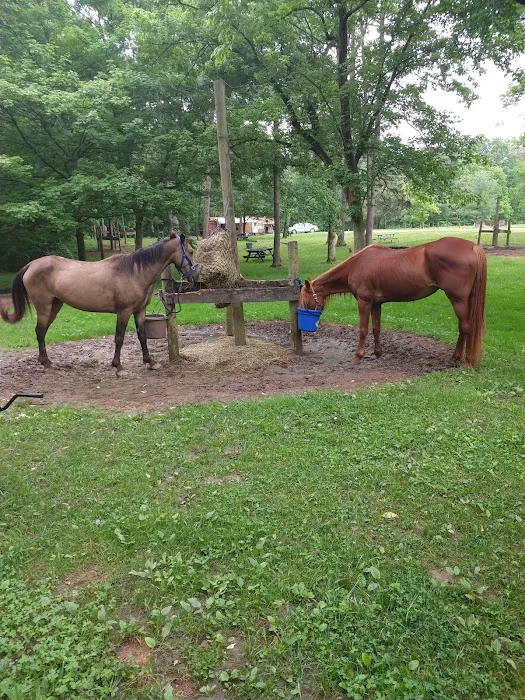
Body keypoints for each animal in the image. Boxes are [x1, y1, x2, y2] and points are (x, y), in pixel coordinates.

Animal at [0, 233, 198, 372]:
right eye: (190, 252)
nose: (195, 277)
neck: (135, 271)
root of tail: (31, 265)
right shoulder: (124, 311)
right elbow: (119, 338)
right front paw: (118, 366)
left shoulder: (140, 311)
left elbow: (142, 336)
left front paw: (150, 362)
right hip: (44, 307)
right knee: (40, 331)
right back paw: (46, 363)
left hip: (55, 306)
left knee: (42, 332)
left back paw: (46, 361)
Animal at [300, 237, 487, 367]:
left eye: (305, 301)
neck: (357, 265)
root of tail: (472, 247)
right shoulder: (376, 303)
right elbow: (376, 328)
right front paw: (377, 353)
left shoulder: (364, 302)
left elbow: (363, 329)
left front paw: (358, 356)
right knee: (463, 328)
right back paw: (456, 358)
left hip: (458, 299)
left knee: (466, 327)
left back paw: (465, 361)